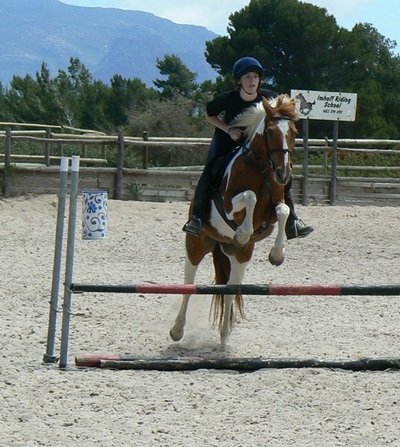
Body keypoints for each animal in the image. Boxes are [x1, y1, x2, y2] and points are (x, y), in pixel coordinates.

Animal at [170, 93, 298, 346]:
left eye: (294, 132)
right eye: (270, 132)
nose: (284, 173)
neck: (260, 168)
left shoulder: (275, 206)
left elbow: (283, 211)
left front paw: (277, 254)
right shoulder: (229, 205)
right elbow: (249, 197)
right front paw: (242, 233)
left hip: (241, 256)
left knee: (231, 287)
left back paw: (224, 334)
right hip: (197, 244)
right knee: (189, 282)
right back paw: (177, 330)